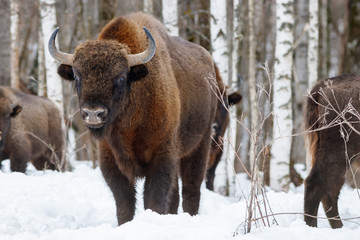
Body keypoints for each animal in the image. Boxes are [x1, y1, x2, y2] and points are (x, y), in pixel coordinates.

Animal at [47, 12, 217, 224]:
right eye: (77, 76)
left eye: (121, 77)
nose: (93, 113)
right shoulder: (111, 161)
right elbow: (124, 203)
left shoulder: (162, 157)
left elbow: (154, 199)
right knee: (176, 195)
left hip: (199, 146)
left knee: (191, 189)